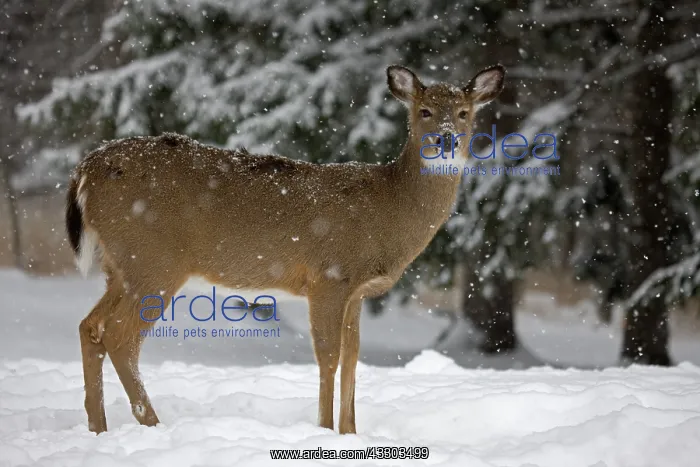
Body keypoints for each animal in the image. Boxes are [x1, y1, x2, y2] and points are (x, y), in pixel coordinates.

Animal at [66, 63, 505, 435]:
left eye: (464, 112)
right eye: (425, 110)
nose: (446, 139)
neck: (388, 208)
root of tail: (87, 169)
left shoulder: (357, 291)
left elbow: (353, 359)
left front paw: (350, 433)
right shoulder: (329, 275)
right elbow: (328, 356)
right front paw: (325, 430)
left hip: (121, 265)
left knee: (90, 326)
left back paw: (98, 427)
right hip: (154, 259)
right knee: (120, 336)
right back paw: (154, 425)